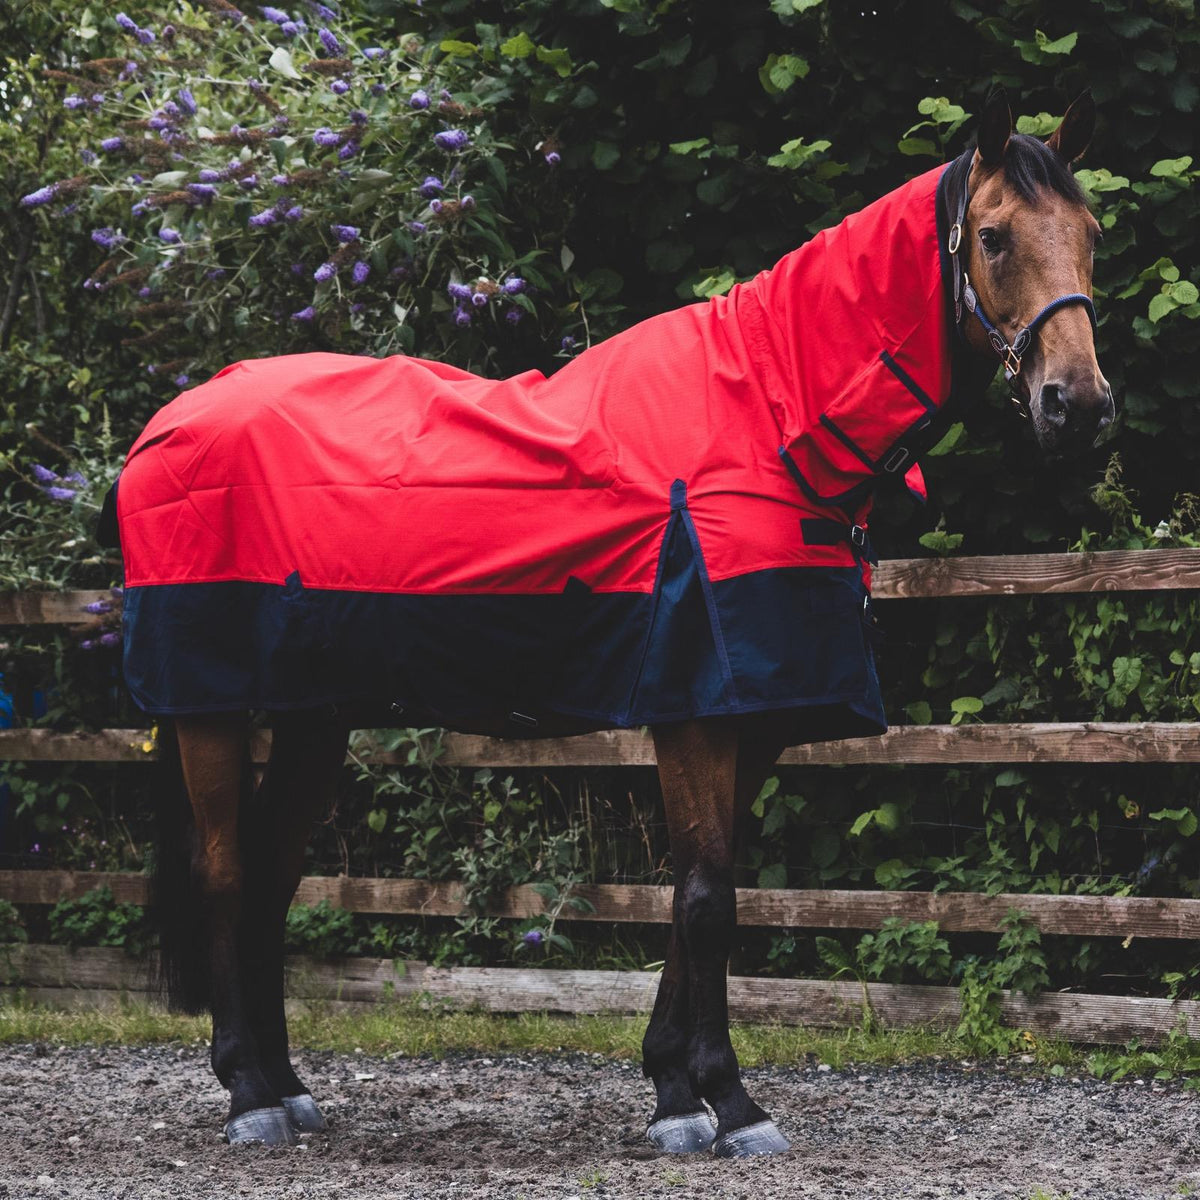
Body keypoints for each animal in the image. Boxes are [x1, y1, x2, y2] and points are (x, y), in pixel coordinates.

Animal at [109, 87, 1111, 1154]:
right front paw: (727, 1101)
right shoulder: (694, 712)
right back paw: (250, 1093)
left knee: (269, 880)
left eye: (1092, 234)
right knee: (225, 874)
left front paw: (673, 1088)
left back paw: (289, 1087)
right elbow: (708, 901)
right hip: (210, 711)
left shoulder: (751, 722)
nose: (1078, 407)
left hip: (312, 718)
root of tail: (167, 424)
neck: (770, 417)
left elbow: (695, 897)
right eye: (995, 238)